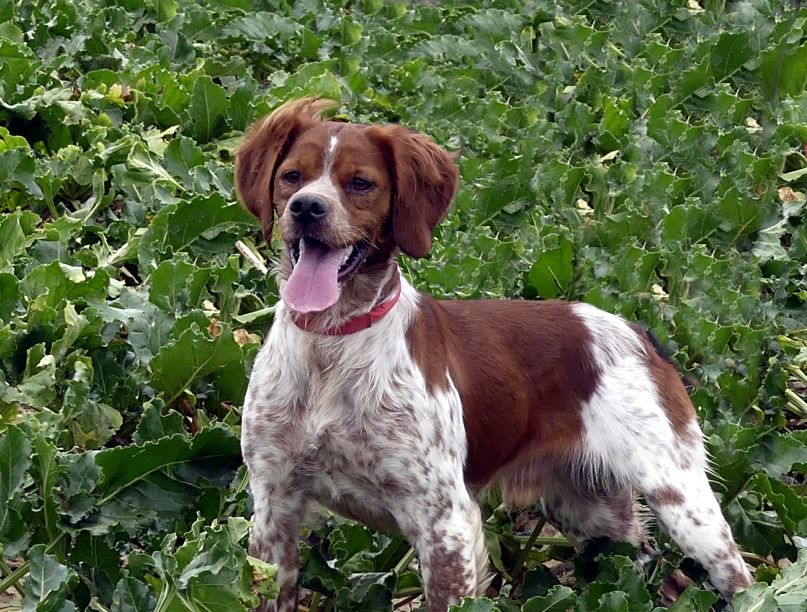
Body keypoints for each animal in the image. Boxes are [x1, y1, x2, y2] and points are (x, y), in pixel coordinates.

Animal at [237, 98, 756, 608]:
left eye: (360, 183)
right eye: (292, 176)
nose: (307, 208)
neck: (333, 343)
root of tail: (636, 329)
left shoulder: (445, 522)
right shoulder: (273, 507)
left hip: (681, 499)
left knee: (740, 578)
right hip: (587, 506)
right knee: (635, 554)